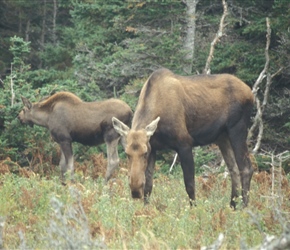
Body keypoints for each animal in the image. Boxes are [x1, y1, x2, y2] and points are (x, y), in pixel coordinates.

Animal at [112, 67, 254, 208]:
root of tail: (251, 93)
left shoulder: (184, 144)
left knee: (246, 168)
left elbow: (190, 184)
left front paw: (193, 210)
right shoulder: (154, 147)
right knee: (233, 169)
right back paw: (232, 206)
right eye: (127, 153)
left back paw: (244, 207)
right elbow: (148, 185)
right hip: (222, 137)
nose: (135, 191)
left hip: (238, 128)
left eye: (144, 153)